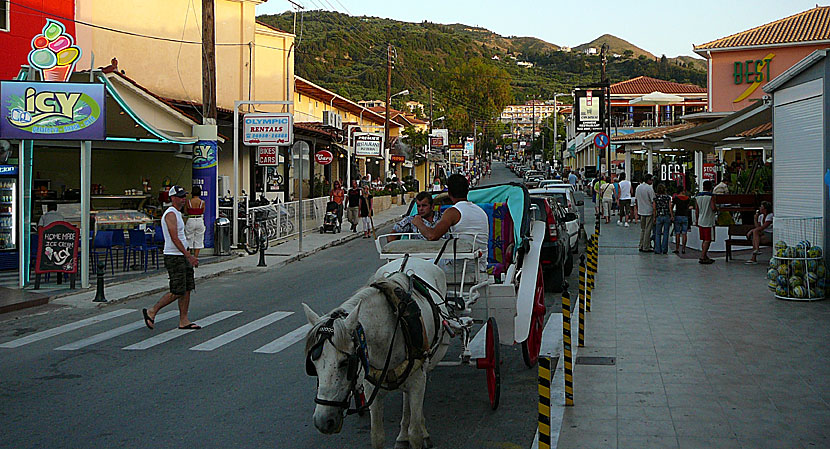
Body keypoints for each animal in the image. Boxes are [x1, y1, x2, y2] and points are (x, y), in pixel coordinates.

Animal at [304, 258, 452, 448]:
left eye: (345, 363)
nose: (323, 422)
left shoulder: (418, 380)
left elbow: (415, 433)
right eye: (313, 365)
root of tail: (418, 258)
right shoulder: (371, 387)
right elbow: (377, 435)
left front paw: (419, 432)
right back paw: (402, 435)